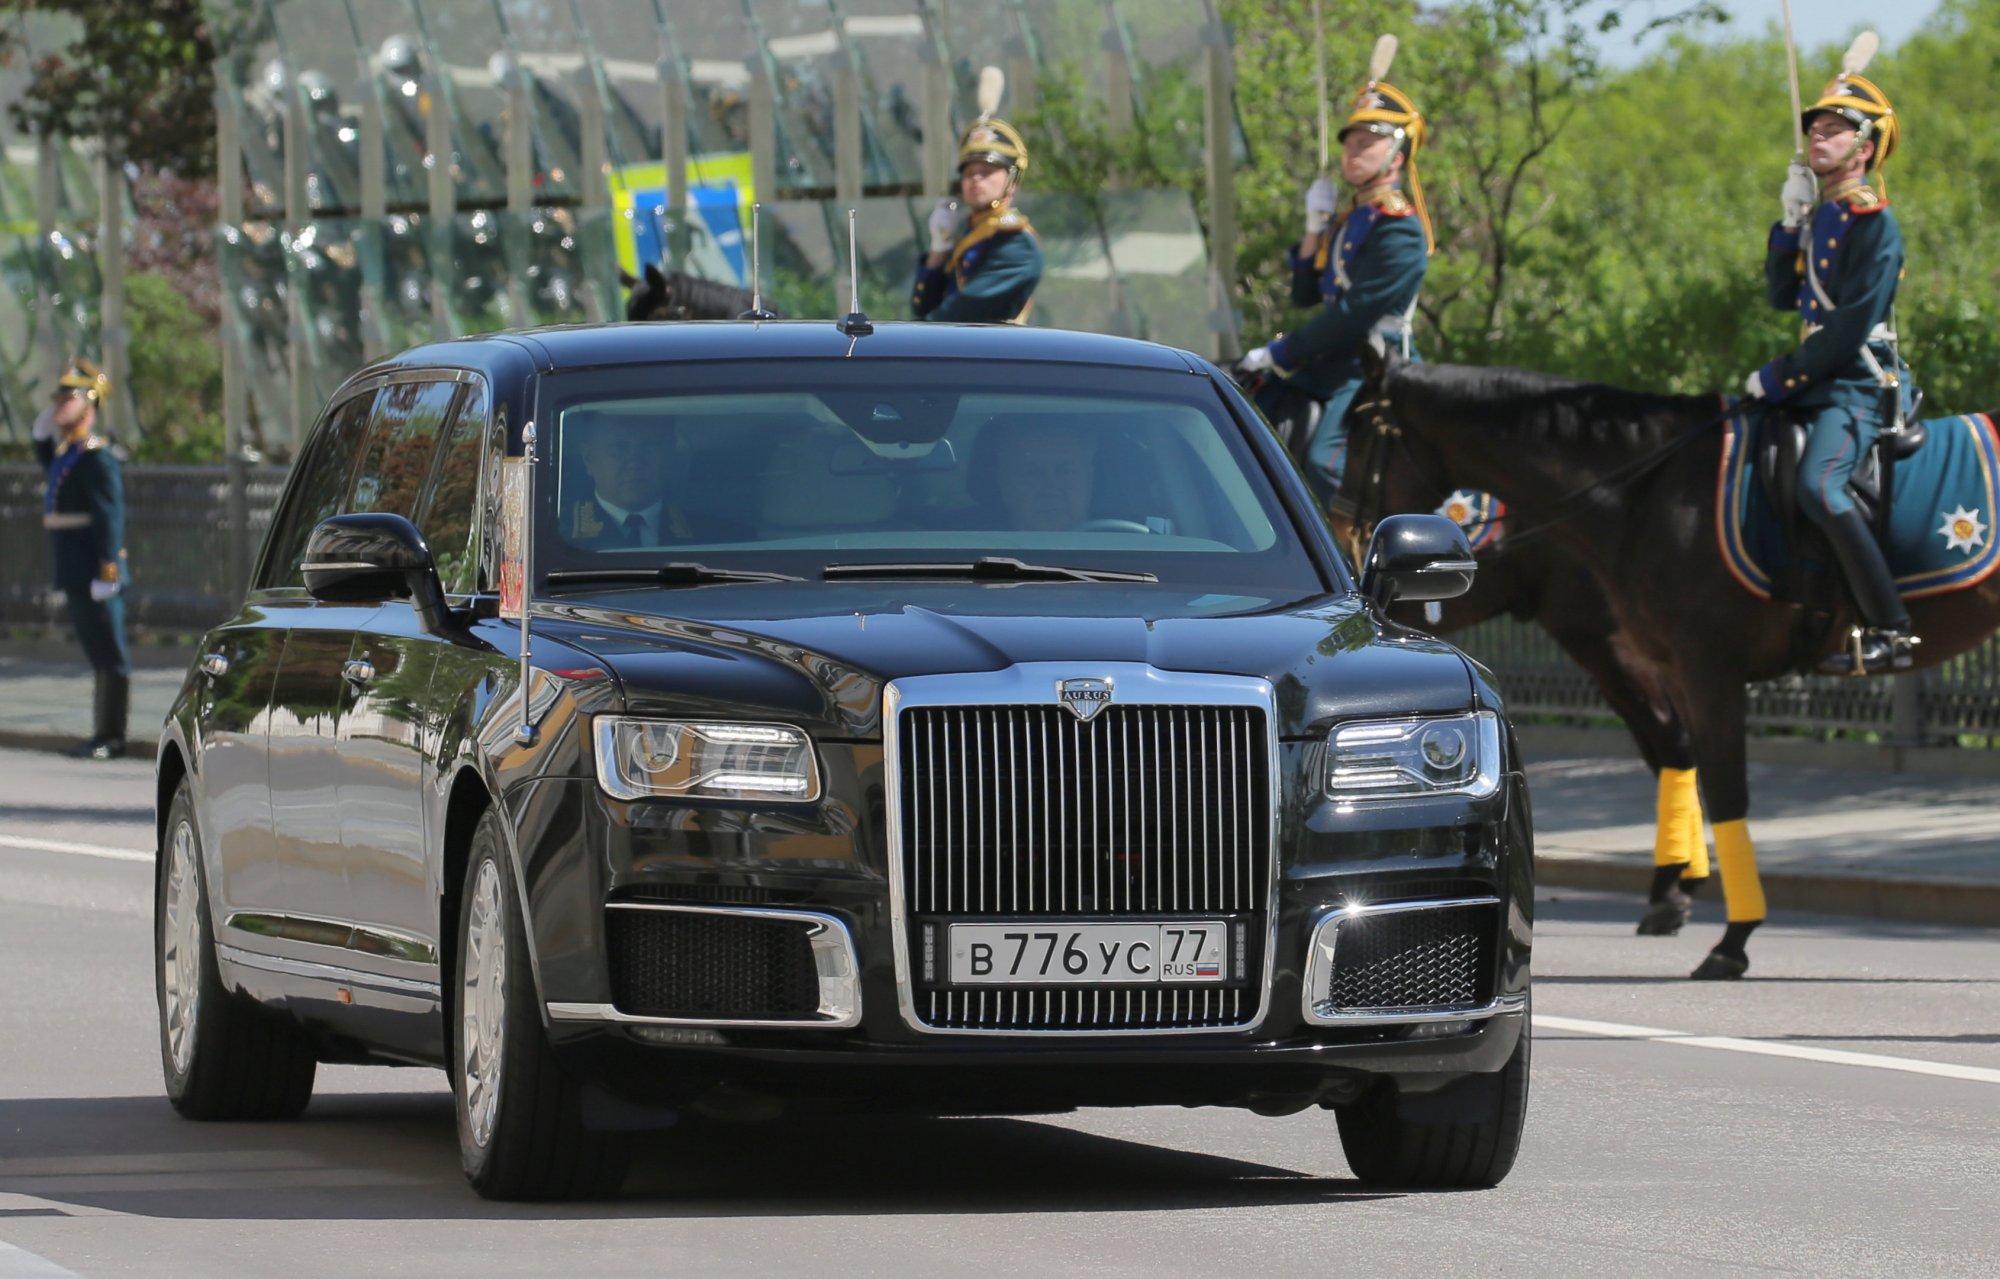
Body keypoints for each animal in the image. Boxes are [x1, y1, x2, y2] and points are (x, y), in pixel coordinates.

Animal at [1344, 349, 2000, 979]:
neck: (1649, 490)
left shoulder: (1708, 671)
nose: (1353, 538)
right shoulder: (1676, 668)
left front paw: (1733, 939)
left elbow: (1726, 792)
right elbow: (1691, 768)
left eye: (1356, 429)